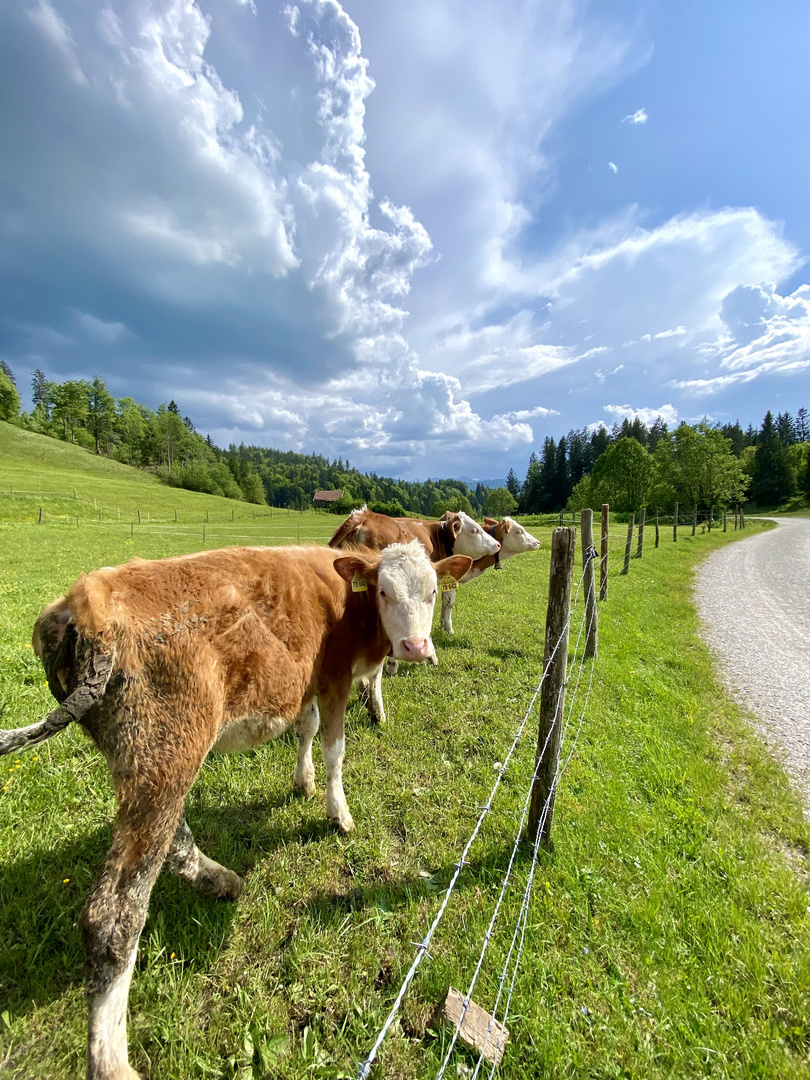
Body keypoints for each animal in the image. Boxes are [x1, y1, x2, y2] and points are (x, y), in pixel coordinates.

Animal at [0, 540, 473, 1080]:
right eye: (383, 591)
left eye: (433, 592)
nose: (415, 647)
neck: (343, 602)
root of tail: (83, 602)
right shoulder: (333, 678)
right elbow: (334, 748)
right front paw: (338, 812)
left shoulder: (307, 680)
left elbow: (306, 728)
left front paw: (303, 782)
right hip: (165, 754)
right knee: (112, 917)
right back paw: (112, 1061)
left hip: (146, 764)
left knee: (174, 840)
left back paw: (220, 880)